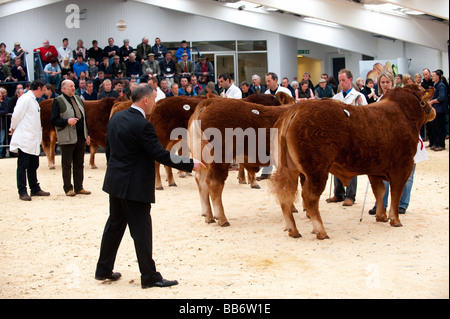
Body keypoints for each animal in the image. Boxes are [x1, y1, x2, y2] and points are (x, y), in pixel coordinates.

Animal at [188, 95, 298, 228]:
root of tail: (211, 101)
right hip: (220, 159)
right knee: (214, 183)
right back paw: (222, 219)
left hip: (203, 159)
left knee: (201, 181)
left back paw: (208, 216)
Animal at [270, 85, 436, 240]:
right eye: (426, 100)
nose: (433, 110)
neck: (404, 113)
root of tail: (298, 108)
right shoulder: (402, 166)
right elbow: (396, 193)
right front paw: (395, 219)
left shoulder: (374, 169)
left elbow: (380, 191)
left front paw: (381, 216)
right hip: (316, 171)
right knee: (309, 197)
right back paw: (321, 231)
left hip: (290, 170)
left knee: (286, 196)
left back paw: (293, 230)